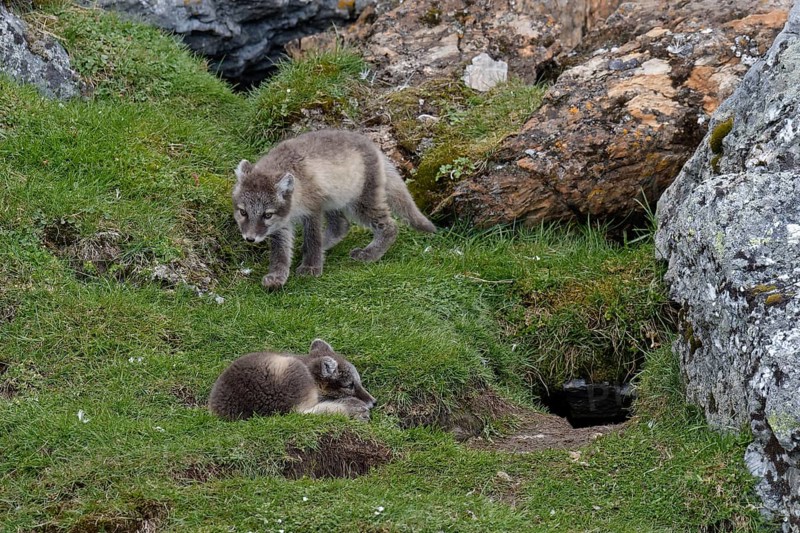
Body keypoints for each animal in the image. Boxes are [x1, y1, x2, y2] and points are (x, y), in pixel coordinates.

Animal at [232, 129, 436, 290]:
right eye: (243, 212)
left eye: (267, 215)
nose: (250, 239)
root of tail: (373, 146)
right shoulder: (282, 222)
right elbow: (280, 252)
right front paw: (277, 276)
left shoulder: (312, 210)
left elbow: (313, 238)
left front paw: (311, 267)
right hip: (334, 201)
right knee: (341, 225)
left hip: (360, 203)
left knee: (390, 226)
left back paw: (369, 255)